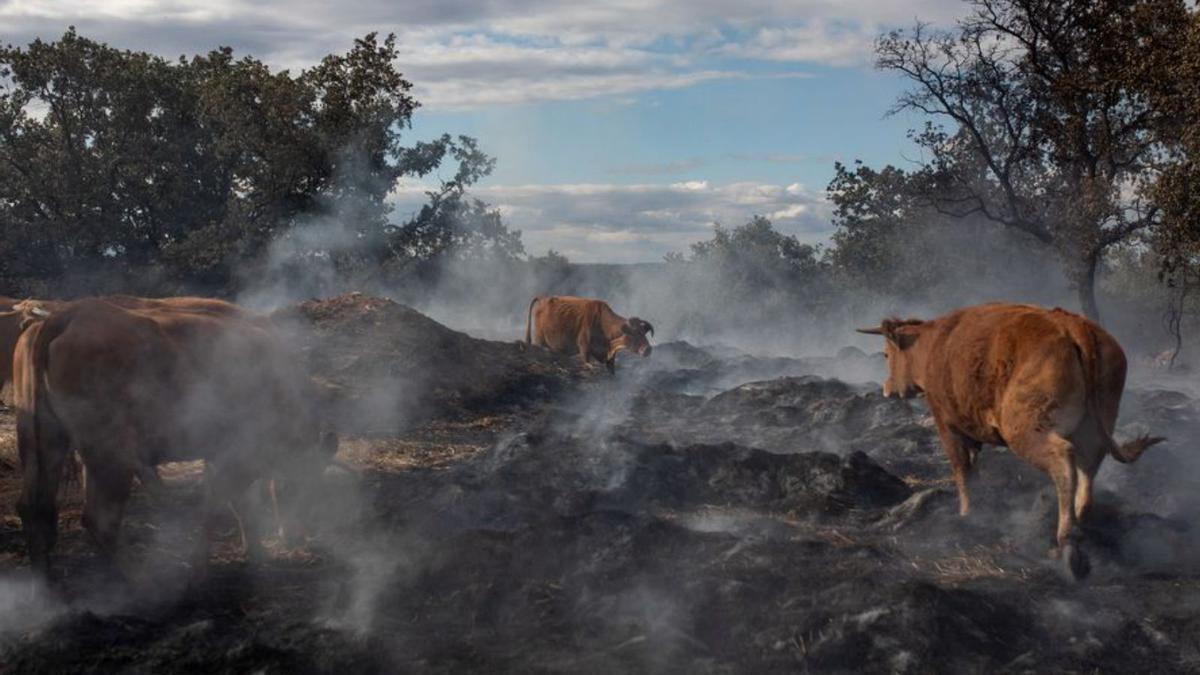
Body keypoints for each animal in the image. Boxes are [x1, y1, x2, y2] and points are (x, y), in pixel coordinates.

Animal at [12, 296, 338, 576]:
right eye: (303, 483)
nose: (296, 538)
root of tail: (69, 315)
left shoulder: (219, 455)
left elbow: (238, 504)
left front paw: (257, 554)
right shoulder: (236, 455)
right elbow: (218, 505)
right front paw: (203, 564)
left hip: (48, 443)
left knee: (35, 508)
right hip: (111, 458)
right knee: (99, 519)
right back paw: (140, 580)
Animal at [525, 293, 657, 369]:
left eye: (643, 332)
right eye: (634, 333)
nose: (648, 349)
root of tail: (542, 299)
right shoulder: (584, 348)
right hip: (539, 340)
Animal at [859, 300, 1166, 578]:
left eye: (886, 355)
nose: (886, 389)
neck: (933, 345)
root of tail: (1072, 325)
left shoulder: (947, 424)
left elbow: (961, 469)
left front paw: (966, 513)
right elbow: (973, 466)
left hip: (1026, 431)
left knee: (1063, 461)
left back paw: (1066, 540)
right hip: (1094, 427)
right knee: (1088, 466)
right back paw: (1080, 521)